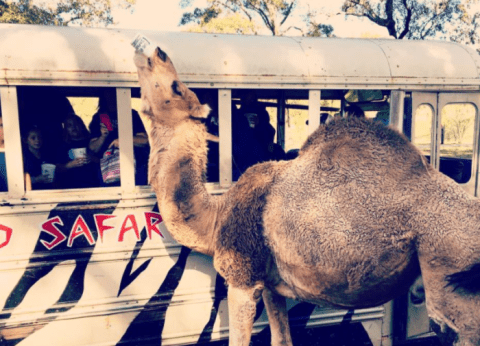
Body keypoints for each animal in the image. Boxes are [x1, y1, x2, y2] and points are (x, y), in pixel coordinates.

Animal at [133, 37, 480, 346]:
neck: (215, 216)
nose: (155, 51)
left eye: (175, 87)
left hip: (451, 278)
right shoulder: (271, 285)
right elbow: (282, 339)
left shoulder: (242, 278)